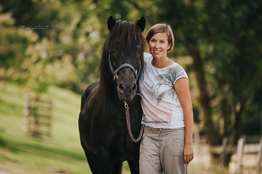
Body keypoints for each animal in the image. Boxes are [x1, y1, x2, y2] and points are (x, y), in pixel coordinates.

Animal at [79, 15, 146, 173]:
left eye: (139, 50)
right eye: (113, 50)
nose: (127, 88)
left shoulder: (137, 157)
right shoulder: (104, 156)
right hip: (91, 156)